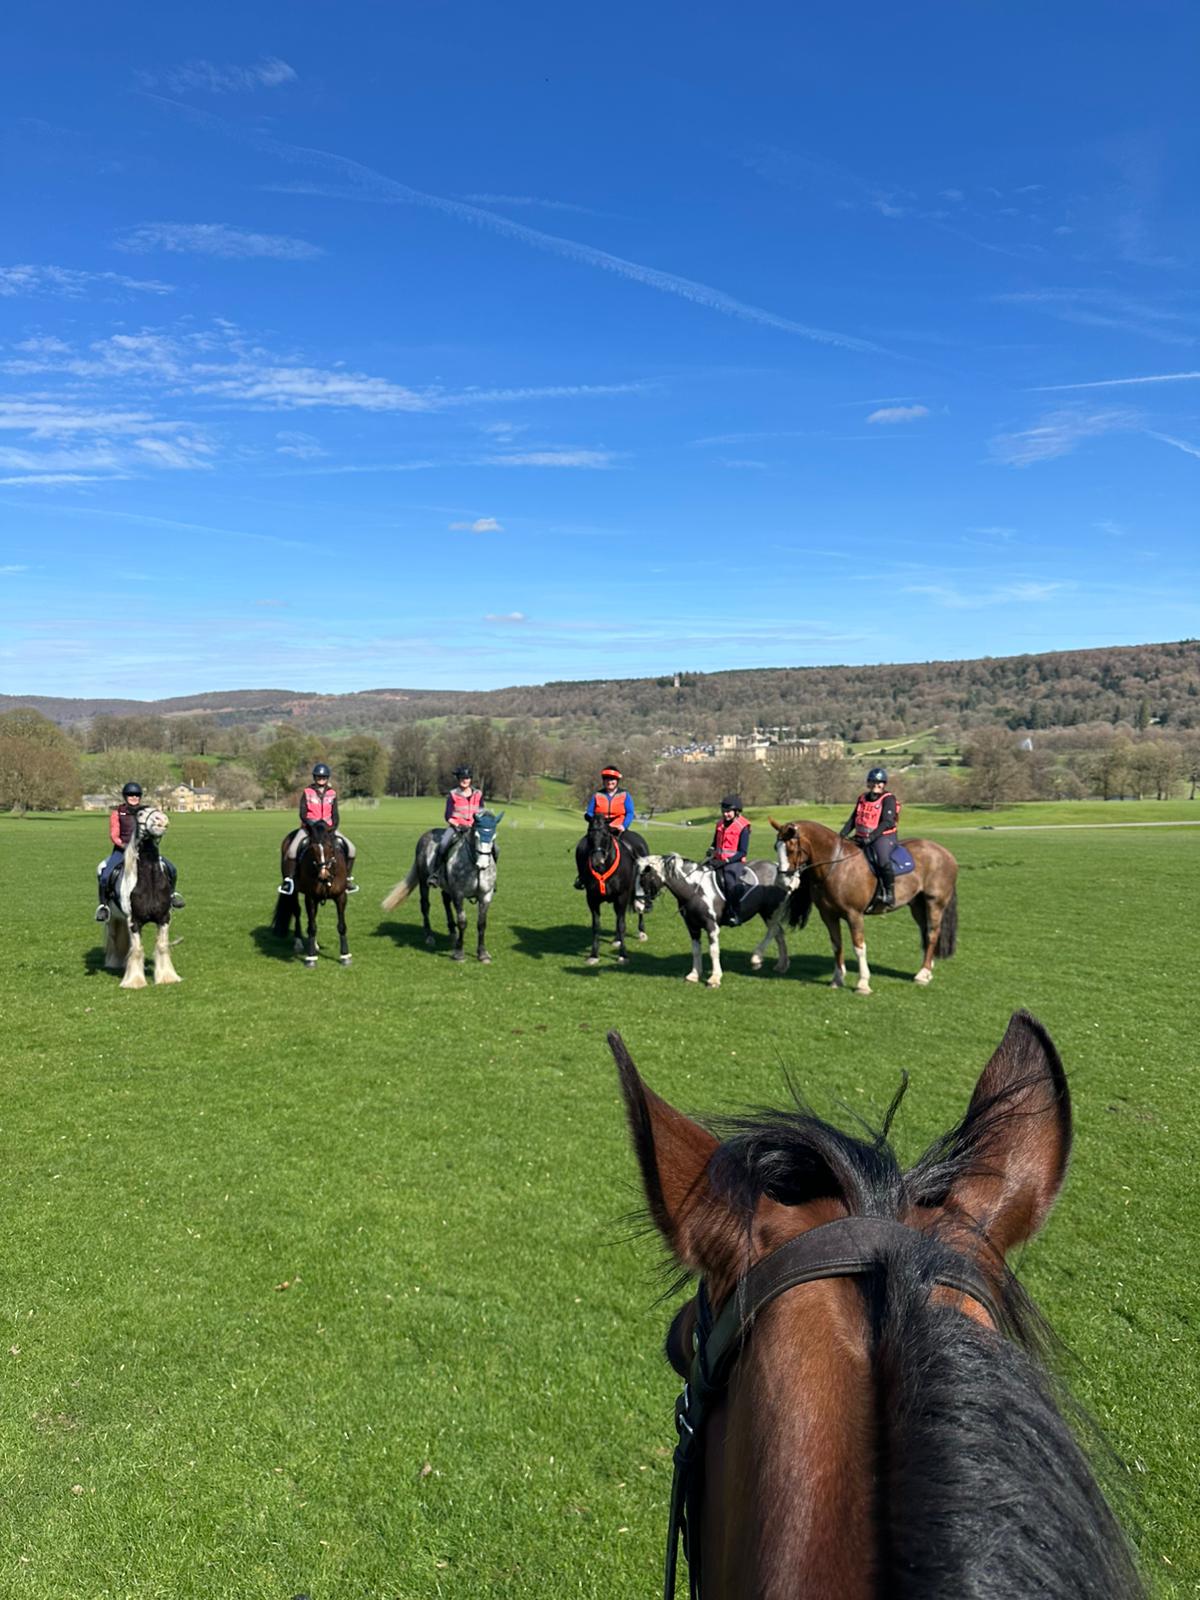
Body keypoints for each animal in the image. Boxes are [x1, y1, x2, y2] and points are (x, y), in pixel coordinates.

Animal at [272, 820, 351, 968]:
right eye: (313, 849)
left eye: (330, 847)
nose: (323, 876)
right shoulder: (310, 897)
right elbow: (312, 927)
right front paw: (311, 958)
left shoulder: (341, 897)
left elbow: (341, 925)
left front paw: (345, 956)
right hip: (293, 892)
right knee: (297, 912)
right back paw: (299, 942)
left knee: (312, 918)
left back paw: (314, 944)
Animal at [381, 810, 502, 963]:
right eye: (476, 835)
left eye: (494, 836)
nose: (483, 864)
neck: (475, 866)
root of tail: (425, 835)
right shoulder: (458, 894)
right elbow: (462, 922)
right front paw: (459, 953)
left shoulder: (486, 895)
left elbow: (481, 924)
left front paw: (483, 954)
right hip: (423, 882)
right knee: (425, 905)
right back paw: (429, 936)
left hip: (447, 887)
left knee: (445, 901)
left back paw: (452, 933)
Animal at [576, 812, 649, 966]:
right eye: (589, 833)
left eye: (605, 833)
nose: (597, 861)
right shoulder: (592, 899)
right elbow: (596, 926)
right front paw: (594, 955)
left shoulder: (622, 896)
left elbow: (622, 924)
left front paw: (623, 955)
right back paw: (617, 939)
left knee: (639, 908)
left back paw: (641, 932)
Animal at [635, 853, 792, 988]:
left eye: (643, 878)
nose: (638, 905)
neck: (695, 889)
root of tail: (776, 866)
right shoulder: (692, 926)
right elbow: (696, 950)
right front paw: (694, 975)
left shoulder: (711, 926)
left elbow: (713, 951)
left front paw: (714, 979)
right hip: (766, 913)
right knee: (779, 933)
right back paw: (781, 965)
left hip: (770, 911)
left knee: (774, 931)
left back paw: (756, 959)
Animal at [767, 817, 958, 994]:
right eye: (776, 848)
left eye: (791, 849)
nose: (782, 881)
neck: (836, 865)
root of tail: (946, 853)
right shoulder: (828, 915)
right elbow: (837, 945)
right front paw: (837, 979)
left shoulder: (854, 915)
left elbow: (859, 947)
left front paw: (863, 983)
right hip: (917, 906)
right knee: (926, 932)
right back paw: (928, 969)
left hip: (934, 903)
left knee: (932, 934)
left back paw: (923, 974)